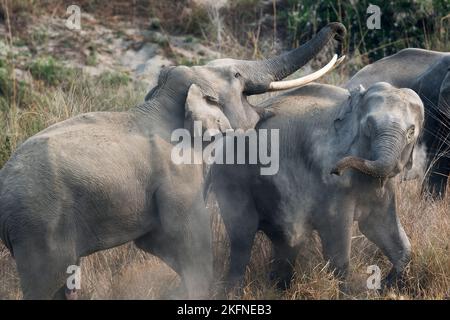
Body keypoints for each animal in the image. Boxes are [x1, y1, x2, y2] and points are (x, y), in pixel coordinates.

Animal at [0, 23, 346, 300]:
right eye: (236, 76)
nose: (338, 32)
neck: (162, 103)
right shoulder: (178, 177)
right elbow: (189, 241)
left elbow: (154, 242)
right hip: (39, 228)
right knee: (46, 283)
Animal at [209, 82, 424, 290]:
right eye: (369, 126)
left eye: (411, 131)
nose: (335, 170)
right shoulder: (328, 183)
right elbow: (336, 236)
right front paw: (347, 292)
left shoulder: (384, 187)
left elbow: (379, 227)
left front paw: (385, 286)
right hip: (232, 180)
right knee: (242, 236)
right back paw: (235, 291)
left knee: (286, 241)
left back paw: (279, 287)